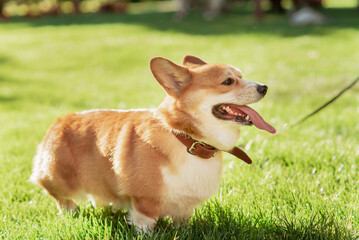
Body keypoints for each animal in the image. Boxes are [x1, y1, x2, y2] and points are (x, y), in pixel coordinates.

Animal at [30, 55, 276, 230]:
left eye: (241, 75)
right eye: (227, 81)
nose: (264, 87)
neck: (187, 140)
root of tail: (60, 120)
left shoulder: (184, 207)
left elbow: (182, 225)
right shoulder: (144, 202)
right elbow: (145, 224)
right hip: (59, 179)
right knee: (56, 194)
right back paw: (70, 212)